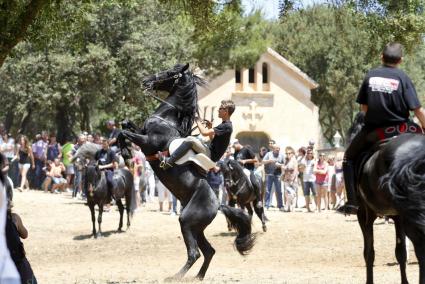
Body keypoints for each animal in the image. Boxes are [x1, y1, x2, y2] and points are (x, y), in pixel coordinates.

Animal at [117, 63, 253, 280]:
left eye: (170, 73)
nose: (145, 80)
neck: (167, 119)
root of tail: (218, 205)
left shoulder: (148, 142)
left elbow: (124, 132)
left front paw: (127, 154)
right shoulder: (142, 133)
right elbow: (124, 124)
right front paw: (126, 151)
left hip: (187, 222)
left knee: (194, 253)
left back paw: (175, 277)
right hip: (197, 228)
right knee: (208, 251)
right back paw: (198, 277)